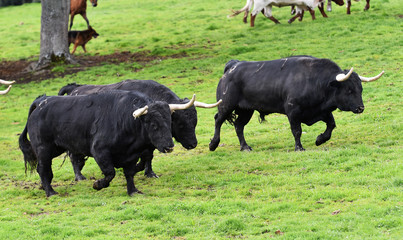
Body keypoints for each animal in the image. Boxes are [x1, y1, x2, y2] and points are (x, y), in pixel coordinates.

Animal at [20, 90, 197, 197]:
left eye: (170, 122)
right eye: (154, 124)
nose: (169, 146)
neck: (125, 119)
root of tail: (41, 102)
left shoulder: (131, 155)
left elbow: (129, 173)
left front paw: (133, 191)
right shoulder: (99, 151)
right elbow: (110, 172)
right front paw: (98, 184)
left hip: (55, 148)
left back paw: (44, 187)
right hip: (43, 148)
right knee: (43, 169)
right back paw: (50, 192)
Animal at [210, 55, 384, 151]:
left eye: (360, 89)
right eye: (349, 90)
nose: (361, 107)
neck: (315, 80)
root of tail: (233, 65)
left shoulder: (321, 111)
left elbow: (331, 125)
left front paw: (320, 139)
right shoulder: (293, 111)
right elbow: (297, 131)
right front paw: (299, 147)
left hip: (246, 110)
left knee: (239, 126)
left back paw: (245, 147)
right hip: (226, 104)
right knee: (218, 120)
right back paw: (213, 144)